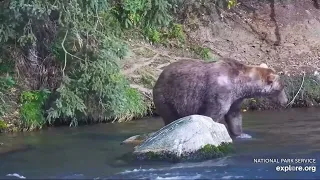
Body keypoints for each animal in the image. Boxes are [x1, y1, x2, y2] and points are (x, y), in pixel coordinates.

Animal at [152, 57, 288, 138]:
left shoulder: (236, 98)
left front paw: (241, 134)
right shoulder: (221, 92)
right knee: (170, 116)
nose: (286, 101)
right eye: (282, 87)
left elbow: (234, 116)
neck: (241, 84)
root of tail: (159, 76)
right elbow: (213, 114)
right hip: (168, 97)